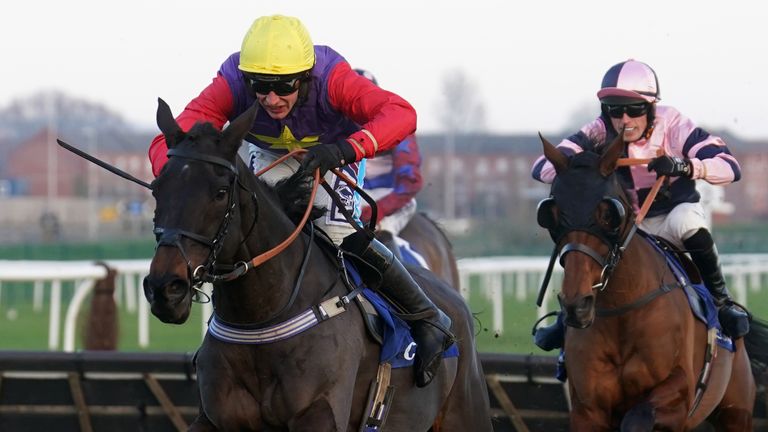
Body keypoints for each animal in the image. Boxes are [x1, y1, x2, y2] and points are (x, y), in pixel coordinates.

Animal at [143, 99, 492, 430]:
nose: (165, 288)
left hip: (465, 413)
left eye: (219, 193)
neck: (261, 318)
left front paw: (326, 155)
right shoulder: (216, 419)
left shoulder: (318, 412)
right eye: (157, 188)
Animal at [536, 133, 768, 430]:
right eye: (551, 214)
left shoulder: (678, 394)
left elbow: (638, 417)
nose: (578, 305)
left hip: (735, 411)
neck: (623, 309)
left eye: (608, 213)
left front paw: (670, 165)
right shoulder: (588, 409)